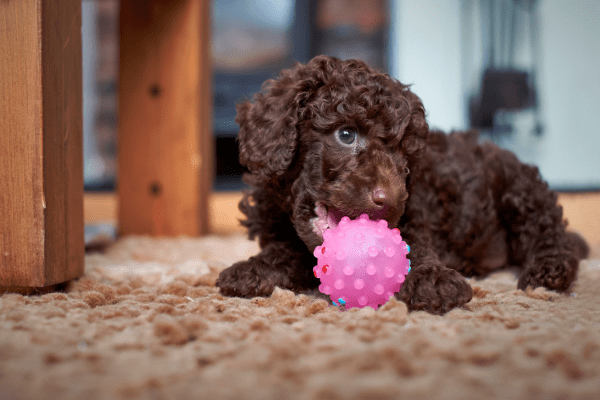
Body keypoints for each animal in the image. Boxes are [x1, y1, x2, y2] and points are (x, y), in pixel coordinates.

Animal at [214, 54, 584, 314]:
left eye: (404, 153)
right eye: (346, 134)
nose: (389, 201)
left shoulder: (417, 216)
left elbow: (411, 249)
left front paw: (433, 280)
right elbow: (283, 251)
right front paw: (252, 269)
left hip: (520, 190)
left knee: (550, 235)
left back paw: (547, 272)